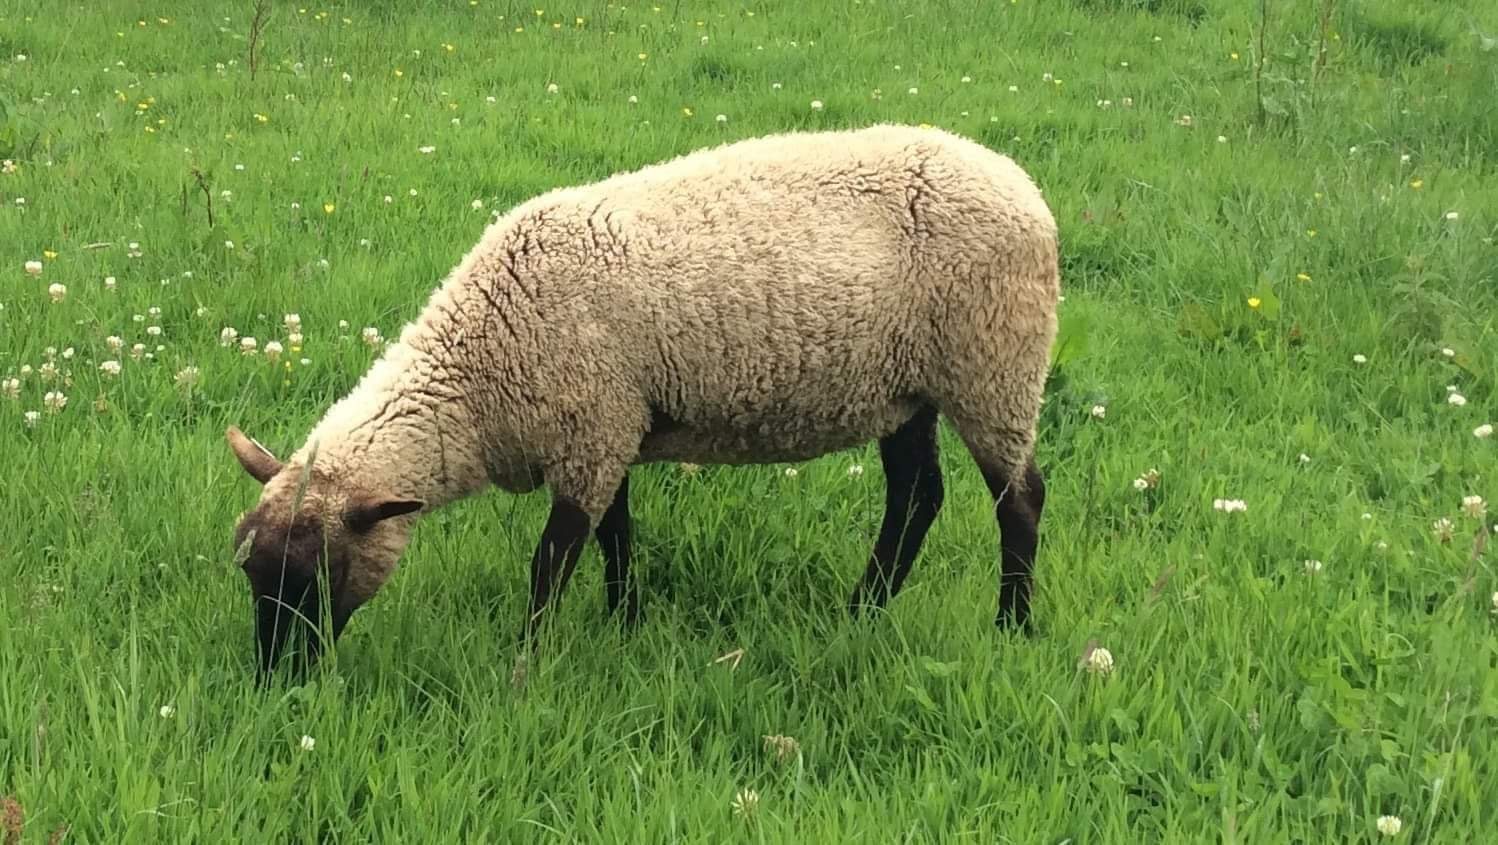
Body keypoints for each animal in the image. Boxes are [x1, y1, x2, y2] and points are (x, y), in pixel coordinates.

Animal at [227, 122, 1060, 677]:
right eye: (252, 574)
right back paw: (865, 609)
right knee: (917, 497)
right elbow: (616, 539)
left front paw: (528, 661)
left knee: (1019, 498)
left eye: (314, 575)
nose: (278, 682)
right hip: (906, 388)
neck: (477, 369)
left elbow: (551, 561)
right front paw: (624, 621)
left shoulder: (591, 432)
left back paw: (1011, 626)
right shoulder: (609, 426)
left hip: (994, 364)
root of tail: (1023, 186)